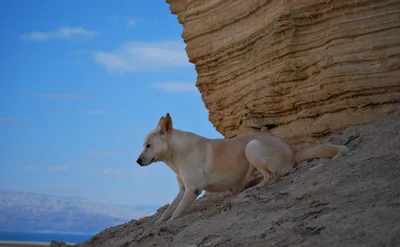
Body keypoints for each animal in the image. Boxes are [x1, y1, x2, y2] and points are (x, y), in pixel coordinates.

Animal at [136, 113, 348, 224]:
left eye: (148, 145)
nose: (137, 161)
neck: (178, 153)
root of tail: (293, 150)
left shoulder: (192, 190)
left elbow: (176, 213)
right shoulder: (182, 190)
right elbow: (168, 210)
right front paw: (158, 223)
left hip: (251, 146)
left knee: (271, 177)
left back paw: (250, 189)